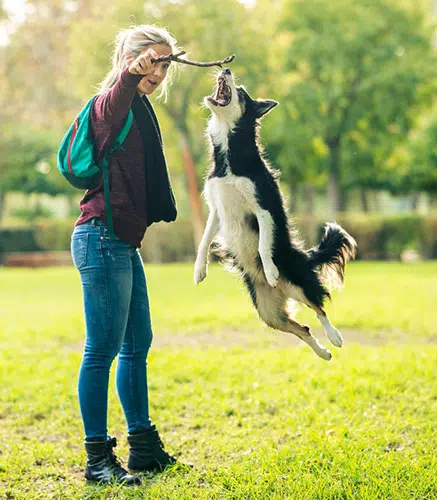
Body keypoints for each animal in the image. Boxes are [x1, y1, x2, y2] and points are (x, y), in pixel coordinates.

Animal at [192, 68, 356, 362]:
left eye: (242, 92)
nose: (226, 69)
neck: (230, 159)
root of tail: (305, 256)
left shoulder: (262, 207)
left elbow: (263, 246)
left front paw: (269, 270)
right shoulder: (216, 210)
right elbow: (203, 242)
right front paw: (199, 270)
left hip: (299, 283)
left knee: (319, 308)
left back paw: (334, 337)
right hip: (268, 312)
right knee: (302, 328)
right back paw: (323, 352)